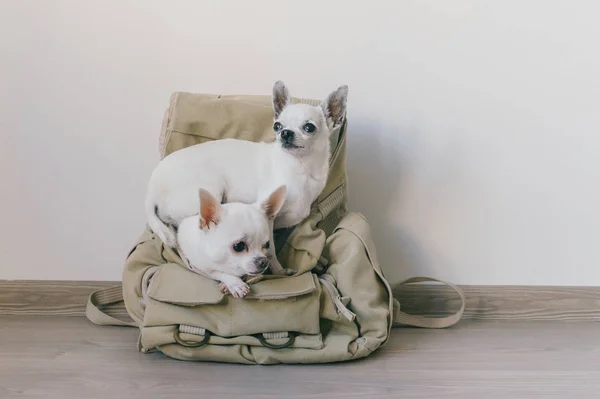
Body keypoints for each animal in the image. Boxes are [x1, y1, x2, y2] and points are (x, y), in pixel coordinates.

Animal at [146, 80, 350, 276]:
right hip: (208, 193)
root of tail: (152, 187)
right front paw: (278, 271)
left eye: (309, 127)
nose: (285, 133)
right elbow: (271, 250)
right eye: (277, 126)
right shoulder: (269, 219)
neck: (300, 169)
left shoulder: (289, 223)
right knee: (178, 233)